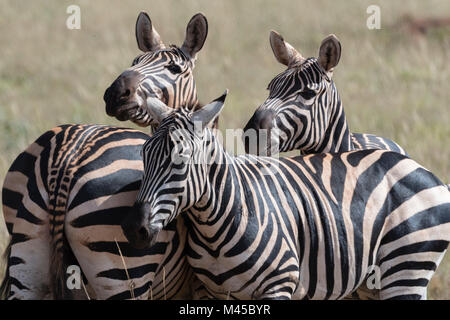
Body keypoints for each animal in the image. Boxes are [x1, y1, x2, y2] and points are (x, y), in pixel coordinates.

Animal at [0, 10, 209, 300]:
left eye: (175, 69)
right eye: (134, 62)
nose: (116, 93)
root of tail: (65, 159)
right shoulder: (203, 287)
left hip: (27, 254)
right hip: (121, 268)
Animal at [120, 92, 450, 300]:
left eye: (181, 160)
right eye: (144, 155)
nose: (135, 229)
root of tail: (420, 168)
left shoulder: (280, 283)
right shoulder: (210, 291)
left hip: (406, 265)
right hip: (376, 282)